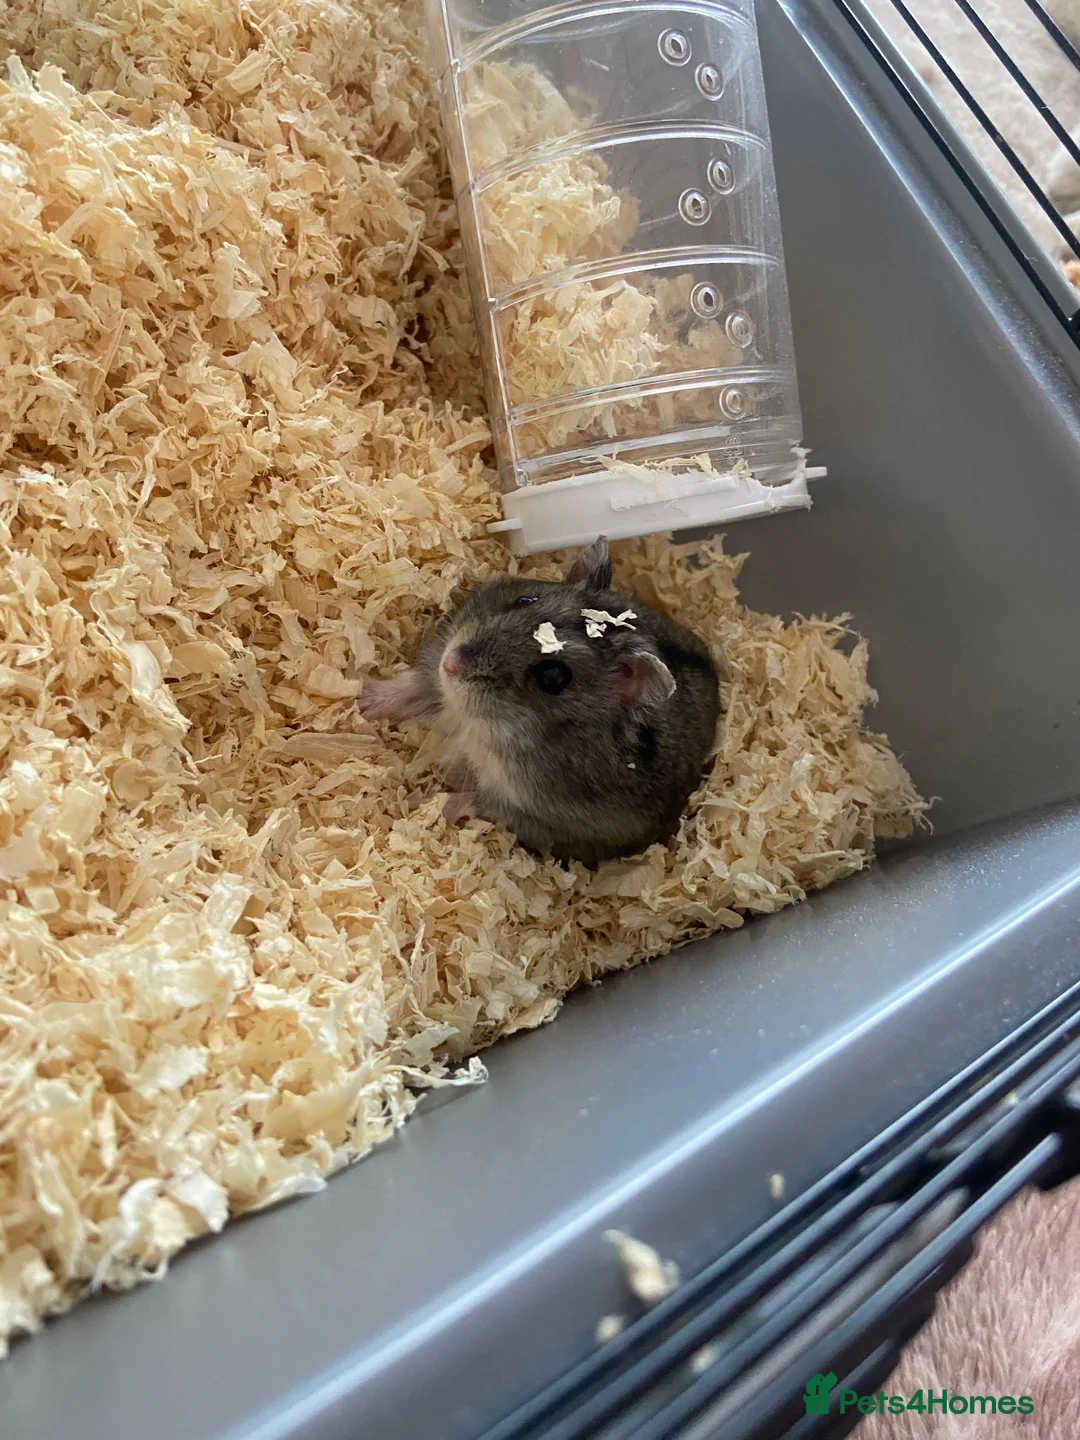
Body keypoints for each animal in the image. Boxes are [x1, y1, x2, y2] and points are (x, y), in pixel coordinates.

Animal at [357, 537, 721, 865]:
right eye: (524, 600)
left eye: (554, 677)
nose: (452, 664)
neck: (490, 723)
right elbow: (413, 687)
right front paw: (361, 700)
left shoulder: (540, 815)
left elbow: (471, 802)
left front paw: (419, 804)